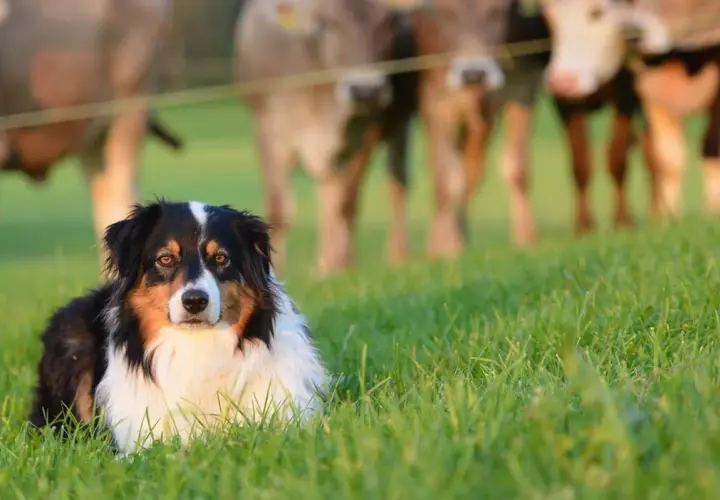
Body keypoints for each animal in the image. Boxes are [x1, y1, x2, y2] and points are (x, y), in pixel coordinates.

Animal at [234, 0, 418, 276]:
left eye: (387, 22)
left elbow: (346, 202)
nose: (365, 89)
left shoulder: (366, 130)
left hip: (399, 126)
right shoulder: (268, 130)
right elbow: (280, 209)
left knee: (395, 185)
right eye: (329, 23)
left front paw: (341, 266)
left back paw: (387, 257)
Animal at [541, 0, 720, 218]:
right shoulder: (652, 89)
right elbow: (667, 158)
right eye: (548, 15)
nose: (562, 81)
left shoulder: (628, 92)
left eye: (597, 12)